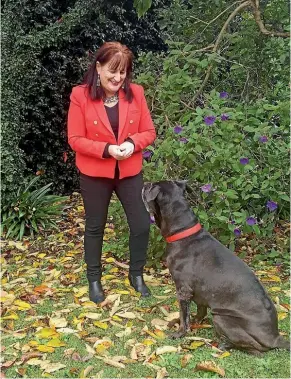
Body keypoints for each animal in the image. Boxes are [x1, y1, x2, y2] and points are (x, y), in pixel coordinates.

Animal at [143, 180, 290, 354]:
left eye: (151, 186)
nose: (144, 183)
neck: (183, 232)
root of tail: (275, 337)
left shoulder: (184, 290)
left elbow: (184, 315)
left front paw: (179, 333)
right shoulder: (199, 293)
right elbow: (199, 311)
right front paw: (192, 321)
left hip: (221, 317)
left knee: (256, 350)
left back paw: (224, 344)